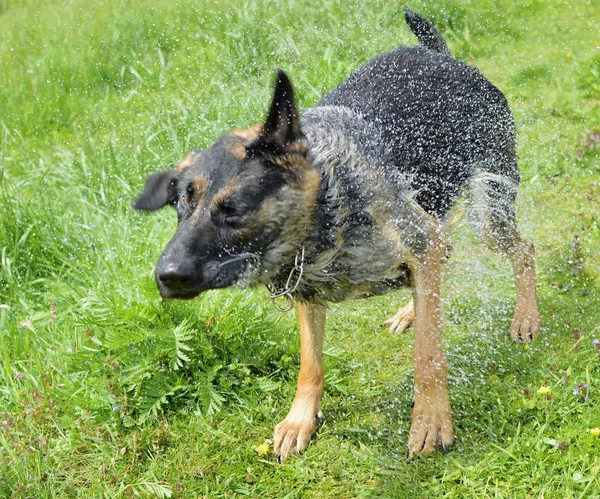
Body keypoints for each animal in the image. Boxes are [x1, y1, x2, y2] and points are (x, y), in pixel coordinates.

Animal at [134, 6, 540, 460]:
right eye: (179, 205)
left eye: (233, 209)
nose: (165, 277)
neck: (329, 209)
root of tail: (444, 57)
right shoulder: (307, 291)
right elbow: (310, 365)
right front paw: (300, 421)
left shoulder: (417, 240)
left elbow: (428, 353)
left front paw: (432, 419)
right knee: (445, 257)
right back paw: (411, 310)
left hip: (487, 213)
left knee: (522, 249)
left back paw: (526, 317)